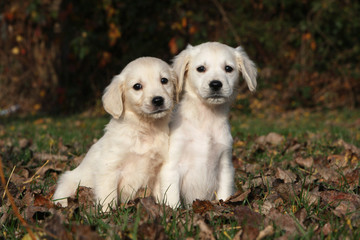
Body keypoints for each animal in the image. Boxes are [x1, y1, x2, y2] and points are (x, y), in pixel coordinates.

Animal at [52, 56, 177, 210]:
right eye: (137, 86)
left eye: (164, 80)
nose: (158, 100)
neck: (144, 129)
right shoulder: (109, 167)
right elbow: (108, 196)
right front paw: (107, 212)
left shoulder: (158, 168)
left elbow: (160, 193)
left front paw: (164, 209)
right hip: (68, 181)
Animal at [160, 42, 256, 207]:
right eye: (201, 68)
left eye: (228, 68)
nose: (216, 84)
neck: (206, 117)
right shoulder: (172, 167)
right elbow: (172, 199)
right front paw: (173, 211)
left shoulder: (225, 166)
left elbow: (224, 195)